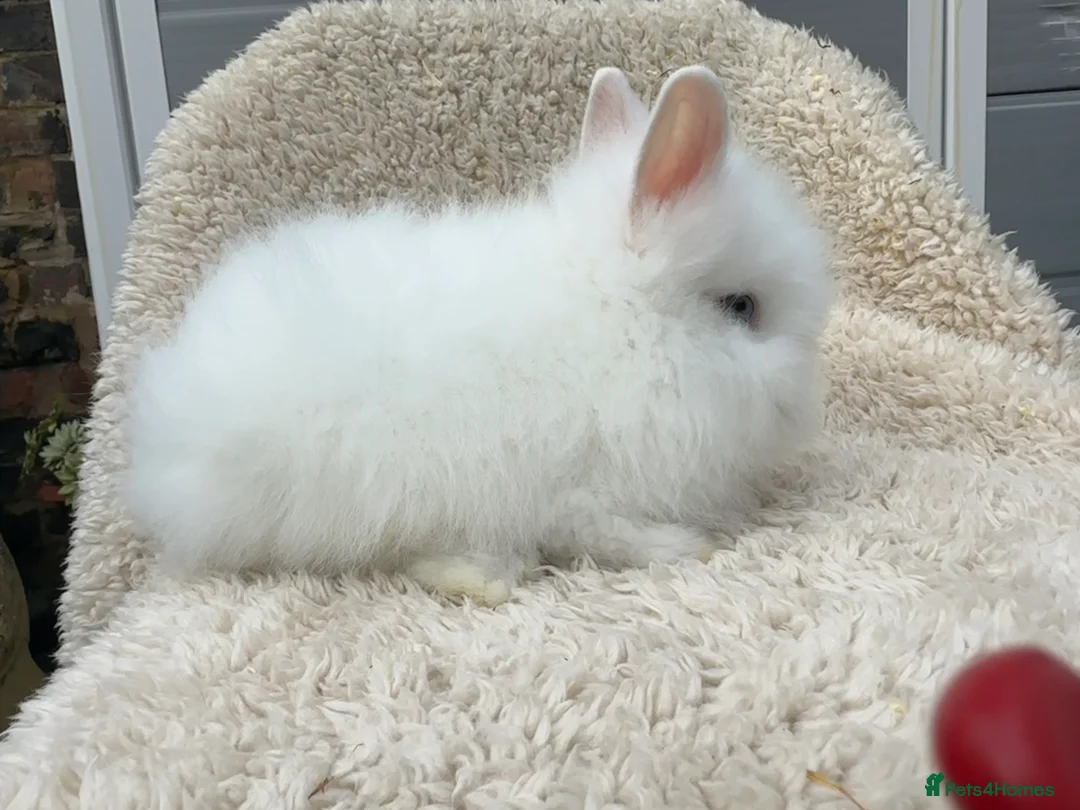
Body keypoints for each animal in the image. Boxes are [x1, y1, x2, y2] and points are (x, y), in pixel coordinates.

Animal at [120, 65, 833, 606]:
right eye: (742, 308)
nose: (802, 410)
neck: (626, 321)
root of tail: (162, 444)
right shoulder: (582, 489)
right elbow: (610, 534)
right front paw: (692, 546)